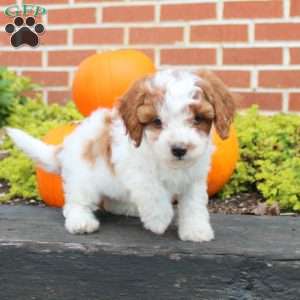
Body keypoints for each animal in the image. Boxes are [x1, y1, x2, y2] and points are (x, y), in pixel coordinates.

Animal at [7, 69, 236, 241]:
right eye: (157, 122)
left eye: (197, 119)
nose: (179, 149)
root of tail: (66, 145)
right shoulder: (137, 171)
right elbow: (153, 192)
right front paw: (159, 219)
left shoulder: (194, 178)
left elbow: (194, 205)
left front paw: (196, 231)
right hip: (83, 180)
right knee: (76, 204)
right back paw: (81, 222)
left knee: (111, 200)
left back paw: (129, 208)